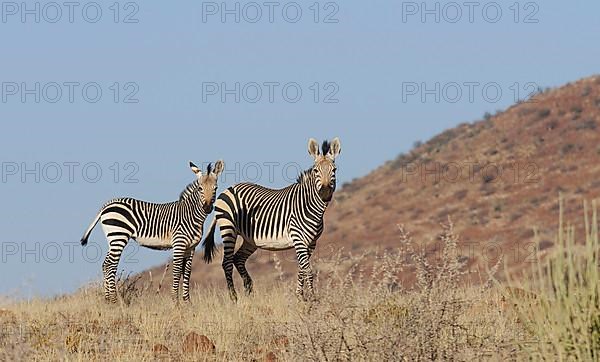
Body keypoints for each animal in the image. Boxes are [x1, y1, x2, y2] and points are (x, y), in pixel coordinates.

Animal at [81, 161, 224, 302]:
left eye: (215, 188)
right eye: (200, 188)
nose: (207, 208)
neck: (191, 215)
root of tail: (107, 204)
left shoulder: (191, 247)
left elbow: (187, 273)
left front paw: (187, 302)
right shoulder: (179, 244)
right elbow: (177, 272)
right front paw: (175, 302)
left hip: (113, 239)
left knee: (105, 265)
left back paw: (108, 301)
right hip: (118, 236)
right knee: (110, 265)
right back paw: (114, 301)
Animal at [203, 137, 340, 302]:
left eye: (334, 170)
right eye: (315, 171)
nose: (325, 193)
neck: (310, 206)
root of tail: (227, 189)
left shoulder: (311, 243)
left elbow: (302, 269)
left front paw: (300, 296)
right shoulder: (299, 239)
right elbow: (307, 269)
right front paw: (312, 299)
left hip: (250, 239)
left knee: (238, 259)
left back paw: (250, 291)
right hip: (228, 228)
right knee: (227, 262)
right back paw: (234, 297)